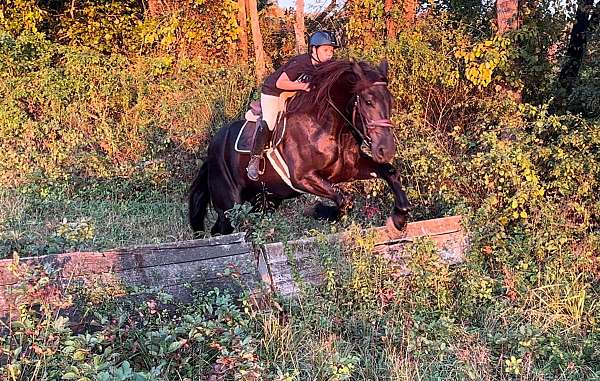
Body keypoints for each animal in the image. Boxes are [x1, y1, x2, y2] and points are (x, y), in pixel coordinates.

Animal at [190, 58, 410, 235]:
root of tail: (212, 147)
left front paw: (399, 218)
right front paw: (319, 210)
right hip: (229, 204)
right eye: (368, 101)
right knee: (223, 228)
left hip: (264, 201)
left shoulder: (347, 170)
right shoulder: (302, 178)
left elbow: (388, 173)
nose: (386, 150)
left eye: (390, 101)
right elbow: (343, 199)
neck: (326, 125)